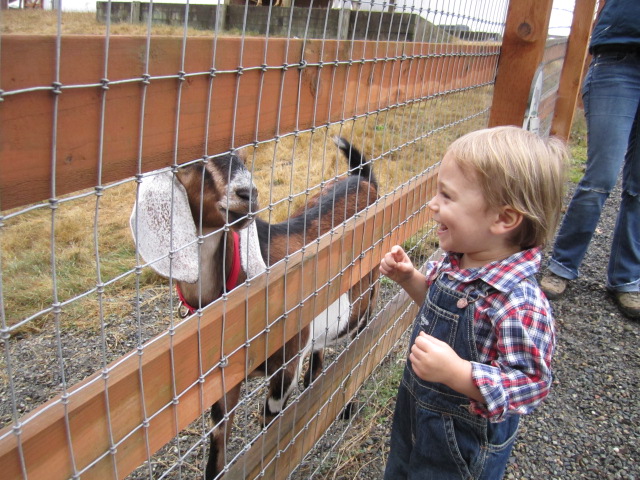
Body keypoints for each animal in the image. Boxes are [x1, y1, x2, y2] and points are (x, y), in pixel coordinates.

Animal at [130, 137, 379, 479]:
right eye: (188, 160)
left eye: (244, 156)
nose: (246, 194)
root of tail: (362, 177)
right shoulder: (224, 381)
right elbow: (217, 447)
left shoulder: (286, 363)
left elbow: (268, 429)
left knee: (361, 341)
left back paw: (347, 406)